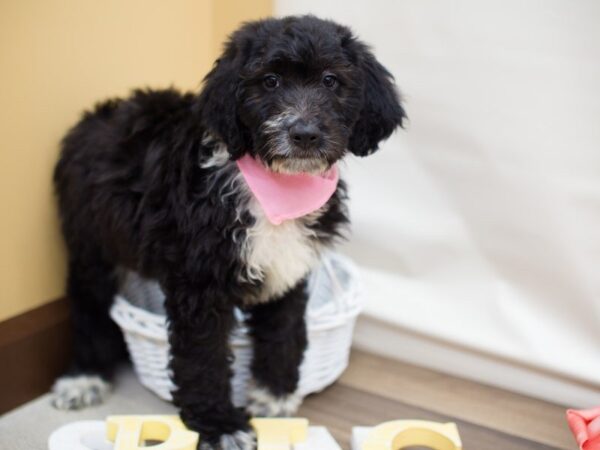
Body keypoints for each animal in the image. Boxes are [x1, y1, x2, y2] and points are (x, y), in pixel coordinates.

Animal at [51, 14, 404, 450]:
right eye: (270, 81)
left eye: (330, 81)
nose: (304, 133)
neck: (275, 186)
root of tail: (99, 114)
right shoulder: (199, 283)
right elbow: (203, 357)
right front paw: (220, 426)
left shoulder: (289, 267)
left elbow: (283, 329)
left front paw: (273, 397)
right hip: (90, 241)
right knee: (87, 305)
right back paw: (84, 377)